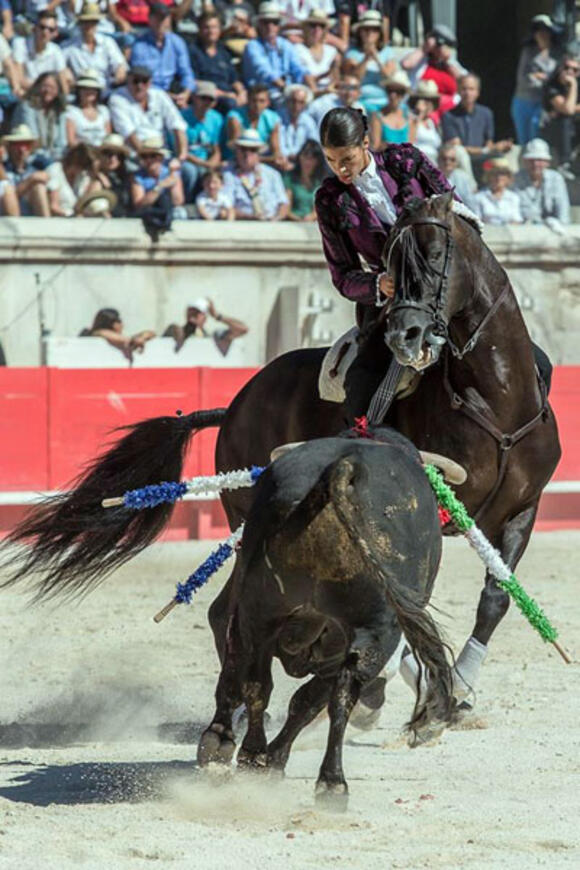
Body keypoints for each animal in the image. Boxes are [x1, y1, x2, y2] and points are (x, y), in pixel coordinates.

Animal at [1, 192, 560, 700]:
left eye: (438, 254)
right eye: (391, 264)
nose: (406, 334)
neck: (494, 399)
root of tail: (237, 402)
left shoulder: (521, 510)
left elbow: (496, 596)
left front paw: (460, 684)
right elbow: (406, 594)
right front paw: (403, 677)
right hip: (253, 518)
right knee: (227, 609)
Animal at [199, 428, 458, 804]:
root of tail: (342, 468)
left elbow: (295, 698)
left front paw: (263, 757)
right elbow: (304, 699)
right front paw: (260, 755)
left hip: (260, 612)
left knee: (261, 682)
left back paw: (258, 754)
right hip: (374, 629)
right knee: (333, 694)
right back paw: (321, 777)